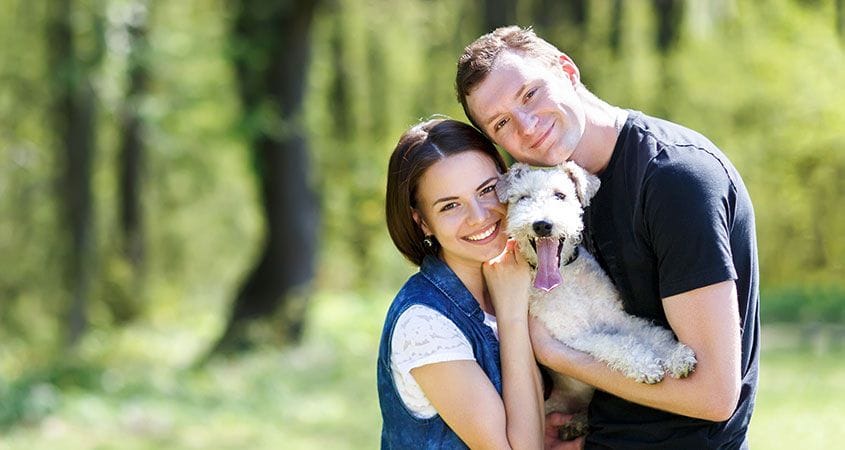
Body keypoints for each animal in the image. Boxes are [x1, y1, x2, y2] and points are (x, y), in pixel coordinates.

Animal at [492, 162, 696, 440]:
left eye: (560, 195)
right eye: (523, 197)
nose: (542, 225)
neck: (566, 278)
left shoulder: (617, 318)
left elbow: (652, 334)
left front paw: (678, 357)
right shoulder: (576, 337)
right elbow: (615, 343)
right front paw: (646, 366)